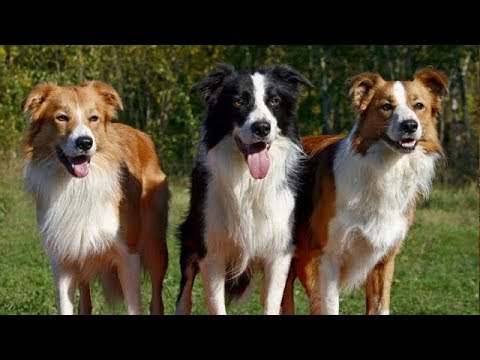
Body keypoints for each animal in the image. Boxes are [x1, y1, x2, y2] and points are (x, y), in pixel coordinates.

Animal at [22, 81, 170, 316]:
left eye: (94, 118)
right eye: (62, 117)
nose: (85, 142)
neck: (78, 188)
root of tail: (140, 134)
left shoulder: (128, 257)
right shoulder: (62, 262)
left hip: (155, 245)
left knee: (156, 300)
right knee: (86, 302)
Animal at [174, 63, 310, 314]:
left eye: (274, 101)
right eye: (238, 102)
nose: (262, 128)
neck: (248, 182)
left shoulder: (280, 252)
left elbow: (271, 303)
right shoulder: (212, 251)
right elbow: (216, 304)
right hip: (190, 236)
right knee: (184, 292)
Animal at [282, 68, 450, 316]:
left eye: (419, 105)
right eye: (386, 106)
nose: (410, 125)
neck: (385, 168)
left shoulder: (384, 257)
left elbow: (381, 306)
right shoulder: (328, 258)